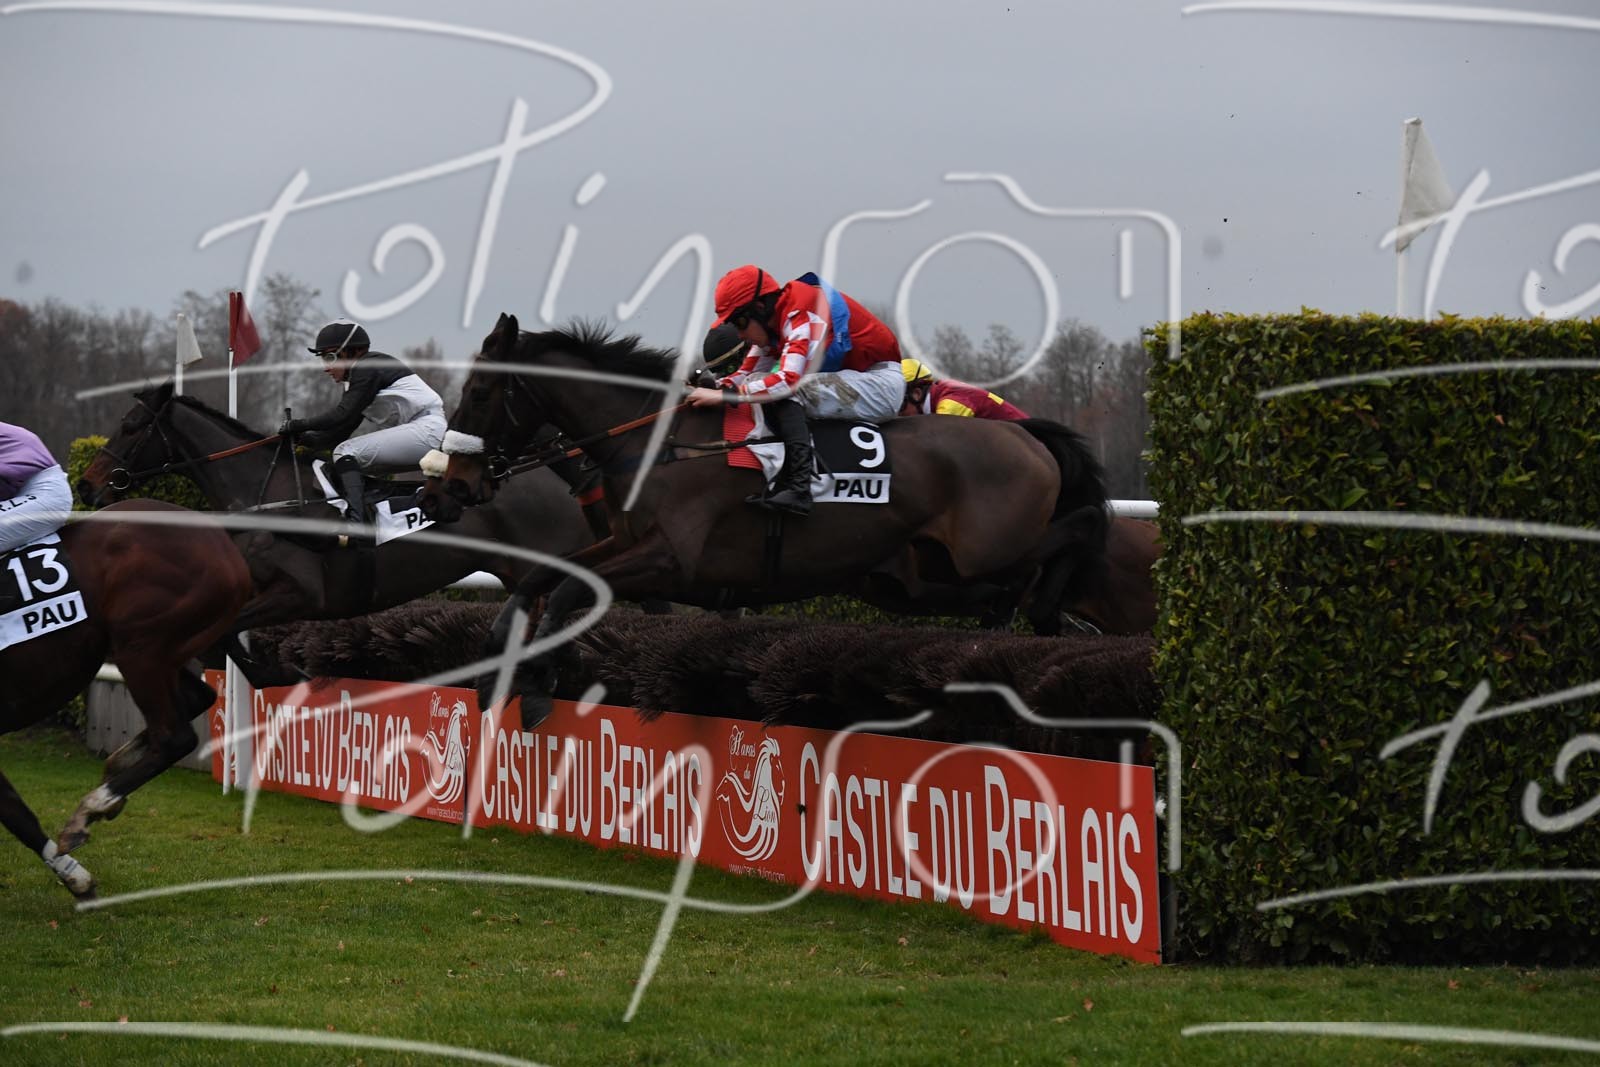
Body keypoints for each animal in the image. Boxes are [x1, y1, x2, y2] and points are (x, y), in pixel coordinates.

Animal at [0, 499, 251, 899]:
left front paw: (76, 876)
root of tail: (226, 547)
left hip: (142, 647)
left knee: (175, 736)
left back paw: (91, 808)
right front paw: (75, 877)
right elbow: (12, 809)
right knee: (200, 697)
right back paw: (116, 772)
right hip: (164, 652)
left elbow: (15, 812)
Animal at [78, 383, 601, 687]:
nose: (87, 484)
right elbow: (223, 637)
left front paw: (281, 673)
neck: (271, 497)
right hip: (521, 577)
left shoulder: (301, 593)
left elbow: (228, 634)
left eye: (131, 426)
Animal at [422, 315, 1109, 724]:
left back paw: (1047, 609)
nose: (454, 483)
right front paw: (497, 663)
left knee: (1070, 534)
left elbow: (565, 587)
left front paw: (539, 680)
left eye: (480, 393)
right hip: (918, 574)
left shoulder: (671, 561)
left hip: (984, 548)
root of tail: (1026, 435)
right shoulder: (623, 542)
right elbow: (545, 580)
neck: (657, 442)